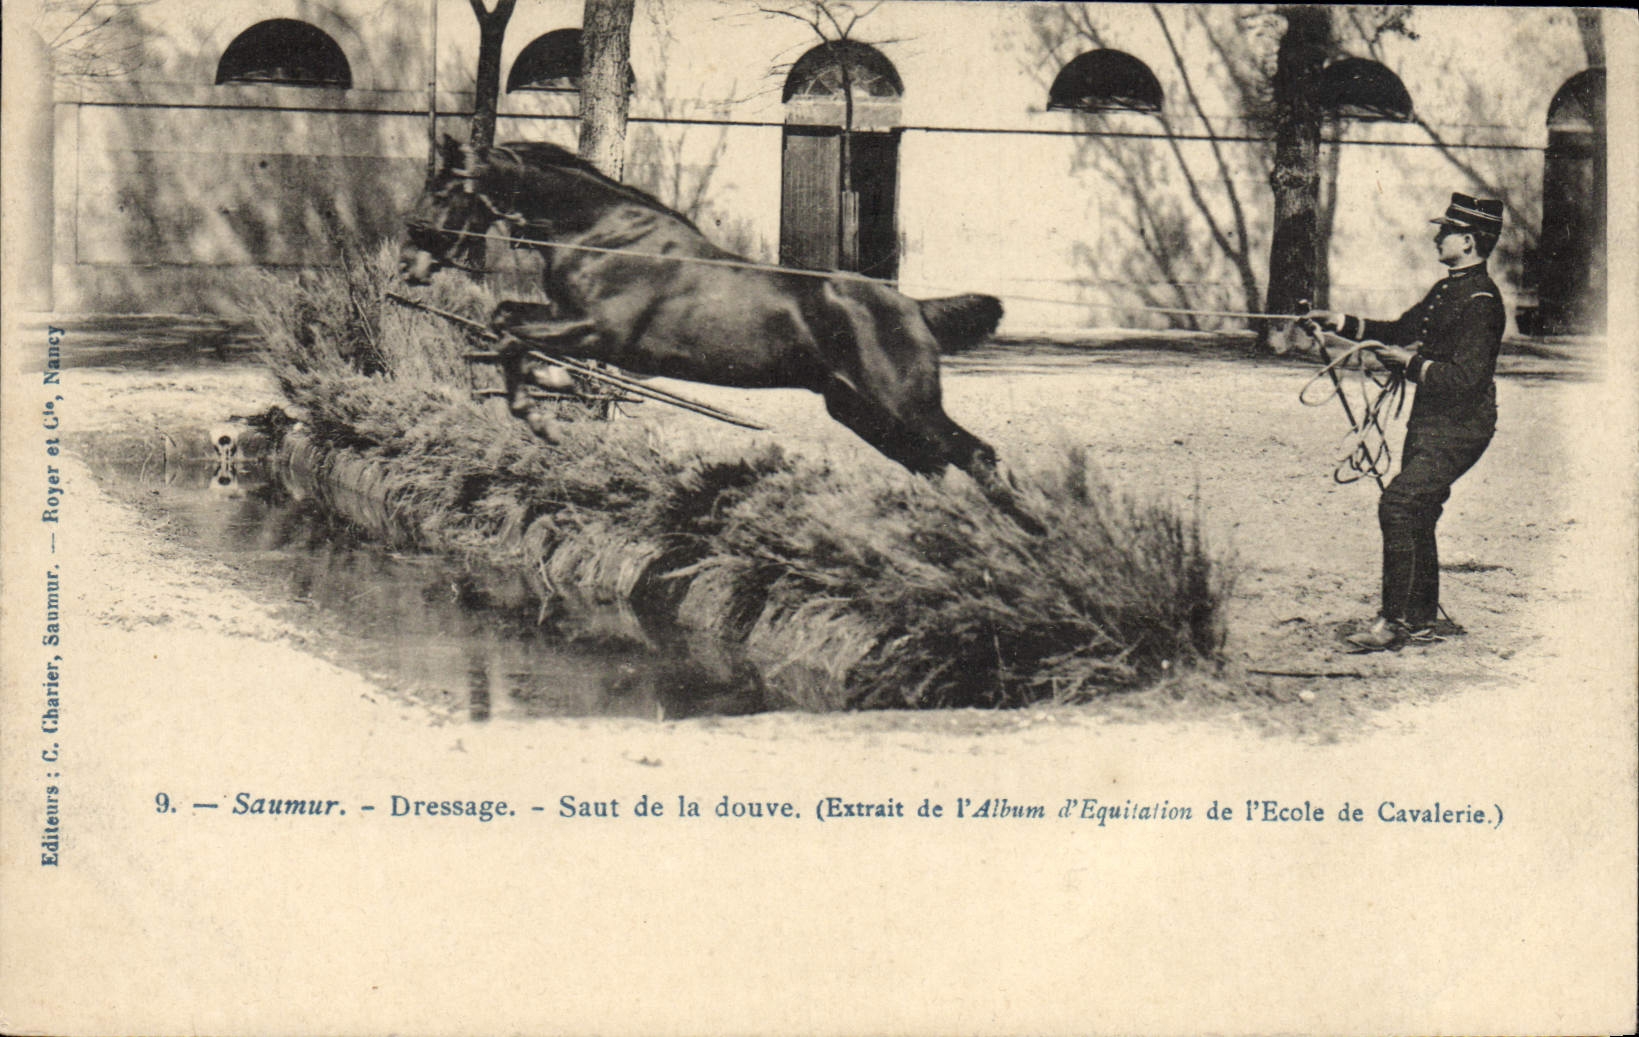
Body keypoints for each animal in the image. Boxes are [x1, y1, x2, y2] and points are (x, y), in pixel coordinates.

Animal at [399, 135, 1039, 532]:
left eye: (446, 188)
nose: (410, 257)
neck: (602, 234)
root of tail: (914, 308)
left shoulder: (601, 333)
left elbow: (510, 329)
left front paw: (542, 412)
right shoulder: (567, 319)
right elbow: (506, 319)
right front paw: (545, 389)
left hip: (903, 403)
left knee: (975, 455)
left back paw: (1024, 534)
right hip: (859, 410)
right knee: (937, 466)